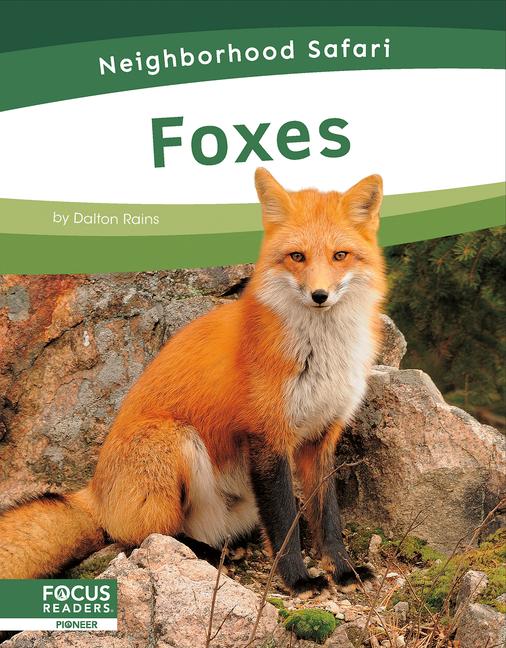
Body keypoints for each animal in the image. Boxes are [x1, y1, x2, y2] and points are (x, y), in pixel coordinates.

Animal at [0, 168, 386, 593]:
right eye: (297, 256)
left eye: (340, 255)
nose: (320, 295)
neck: (320, 354)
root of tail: (95, 491)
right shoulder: (268, 435)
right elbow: (284, 521)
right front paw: (297, 580)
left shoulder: (322, 437)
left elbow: (328, 518)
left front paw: (345, 571)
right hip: (174, 441)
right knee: (144, 537)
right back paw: (200, 552)